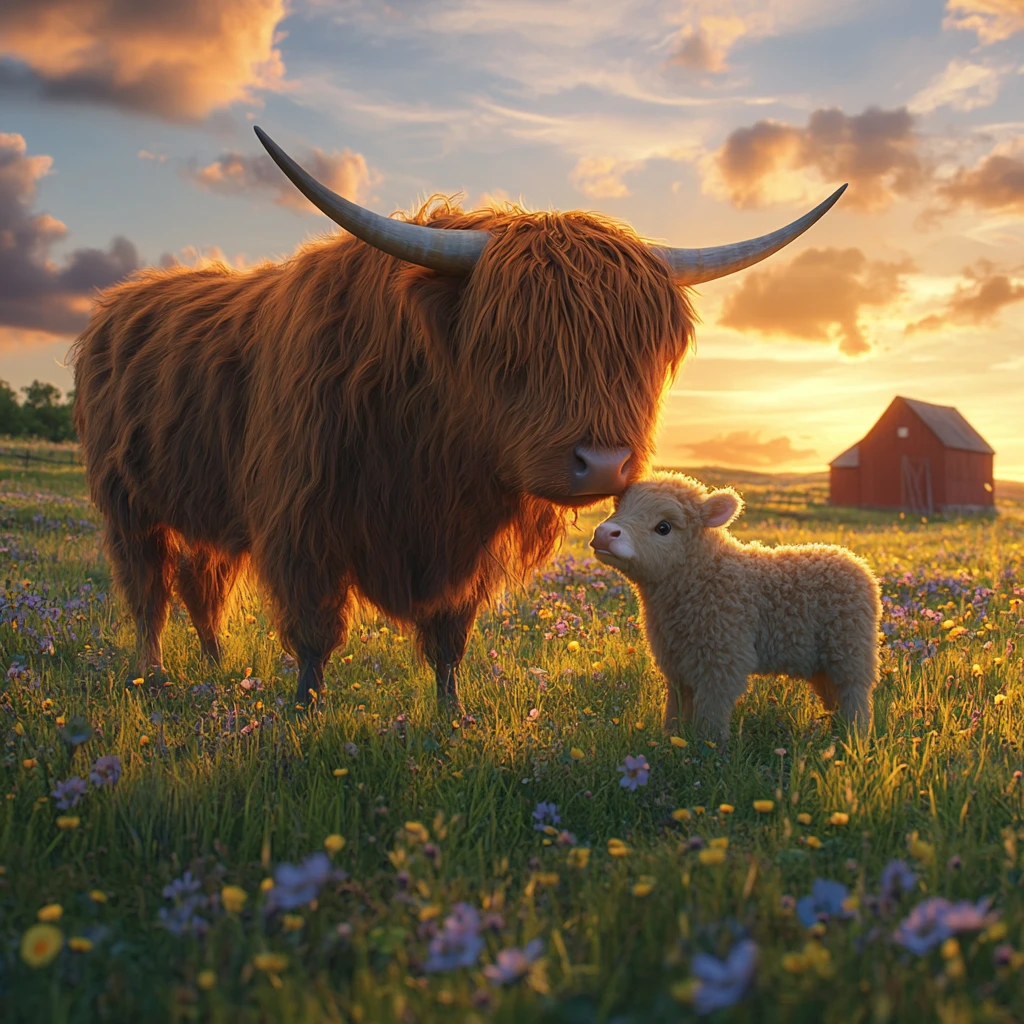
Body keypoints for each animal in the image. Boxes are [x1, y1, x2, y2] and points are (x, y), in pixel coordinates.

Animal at [71, 125, 846, 713]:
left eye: (641, 350)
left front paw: (451, 718)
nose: (603, 464)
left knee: (202, 581)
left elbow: (449, 637)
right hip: (127, 502)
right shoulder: (301, 523)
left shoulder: (463, 544)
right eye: (508, 344)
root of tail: (121, 301)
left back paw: (213, 662)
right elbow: (315, 632)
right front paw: (303, 715)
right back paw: (156, 676)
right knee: (148, 591)